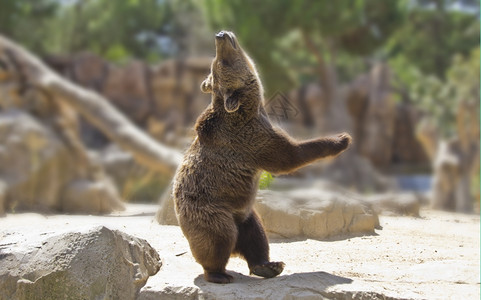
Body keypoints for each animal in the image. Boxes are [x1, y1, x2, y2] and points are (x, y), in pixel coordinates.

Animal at [172, 31, 348, 284]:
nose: (220, 35)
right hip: (211, 210)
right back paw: (219, 273)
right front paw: (341, 140)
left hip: (245, 213)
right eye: (221, 62)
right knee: (219, 238)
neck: (253, 107)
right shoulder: (250, 139)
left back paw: (268, 265)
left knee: (257, 235)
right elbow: (288, 156)